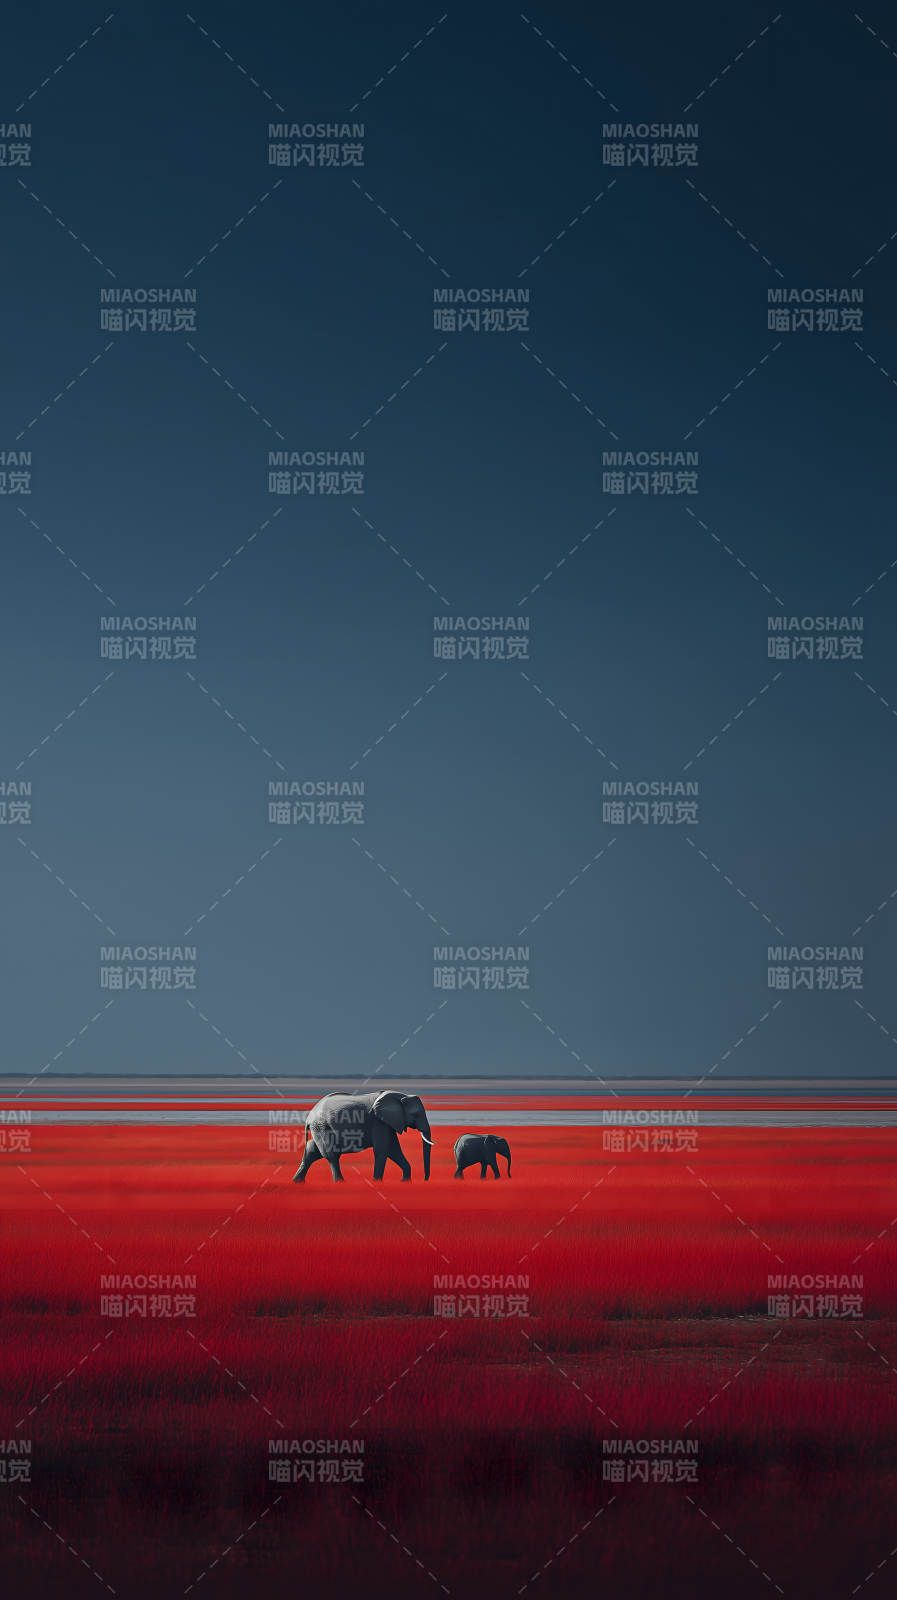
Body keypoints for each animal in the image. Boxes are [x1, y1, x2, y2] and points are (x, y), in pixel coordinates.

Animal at [292, 1091, 433, 1184]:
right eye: (416, 1115)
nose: (425, 1179)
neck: (400, 1096)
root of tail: (309, 1117)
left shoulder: (387, 1122)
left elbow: (394, 1150)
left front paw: (405, 1181)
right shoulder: (378, 1121)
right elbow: (383, 1150)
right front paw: (377, 1182)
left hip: (319, 1127)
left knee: (312, 1150)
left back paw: (297, 1182)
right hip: (322, 1126)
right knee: (331, 1154)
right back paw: (340, 1182)